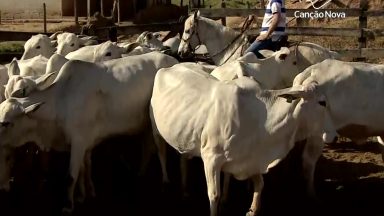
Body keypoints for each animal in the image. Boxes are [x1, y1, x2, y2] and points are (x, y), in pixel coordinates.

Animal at [0, 51, 178, 212]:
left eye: (6, 123)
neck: (61, 101)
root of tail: (173, 60)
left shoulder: (78, 142)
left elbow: (71, 176)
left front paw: (68, 205)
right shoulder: (85, 143)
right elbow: (84, 170)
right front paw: (85, 194)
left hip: (156, 126)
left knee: (160, 150)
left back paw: (165, 182)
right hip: (145, 125)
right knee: (148, 147)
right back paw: (141, 173)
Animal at [150, 64, 328, 216]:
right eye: (322, 102)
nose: (329, 134)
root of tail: (170, 67)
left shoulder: (251, 159)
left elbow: (259, 184)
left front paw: (252, 209)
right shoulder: (211, 158)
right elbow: (213, 195)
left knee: (183, 157)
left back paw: (185, 190)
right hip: (155, 130)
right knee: (161, 152)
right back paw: (166, 182)